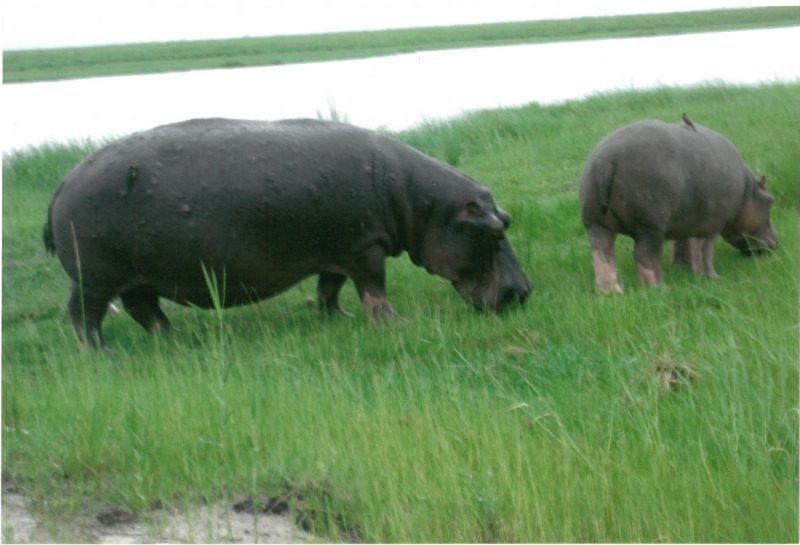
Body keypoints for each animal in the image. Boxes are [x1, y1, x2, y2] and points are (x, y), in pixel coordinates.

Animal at [43, 119, 532, 348]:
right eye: (493, 230)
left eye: (506, 220)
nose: (524, 291)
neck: (424, 203)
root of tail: (63, 182)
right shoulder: (366, 247)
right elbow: (375, 289)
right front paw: (395, 324)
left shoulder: (339, 249)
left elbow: (329, 290)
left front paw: (338, 320)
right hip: (94, 277)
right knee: (84, 315)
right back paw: (102, 353)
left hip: (136, 276)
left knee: (143, 308)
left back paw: (172, 337)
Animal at [580, 117, 780, 292]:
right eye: (771, 200)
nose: (777, 243)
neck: (748, 192)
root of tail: (605, 161)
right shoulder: (712, 225)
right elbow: (705, 251)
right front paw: (712, 277)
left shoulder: (685, 221)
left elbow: (683, 244)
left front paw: (683, 268)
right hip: (650, 227)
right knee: (645, 256)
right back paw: (660, 288)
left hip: (596, 224)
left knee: (602, 255)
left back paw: (611, 292)